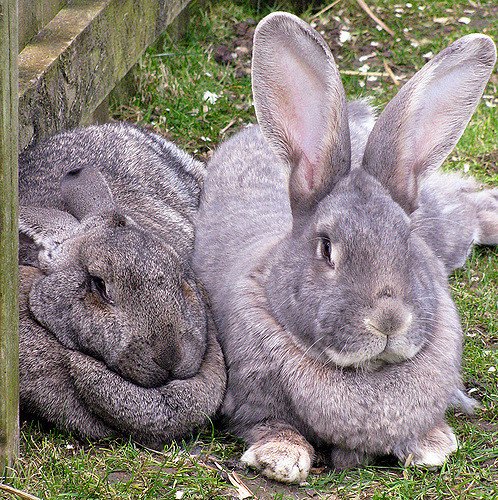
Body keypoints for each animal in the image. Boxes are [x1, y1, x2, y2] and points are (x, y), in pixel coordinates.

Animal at [195, 13, 498, 484]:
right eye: (325, 248)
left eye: (407, 238)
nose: (388, 319)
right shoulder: (247, 403)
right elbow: (268, 425)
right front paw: (280, 458)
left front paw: (431, 445)